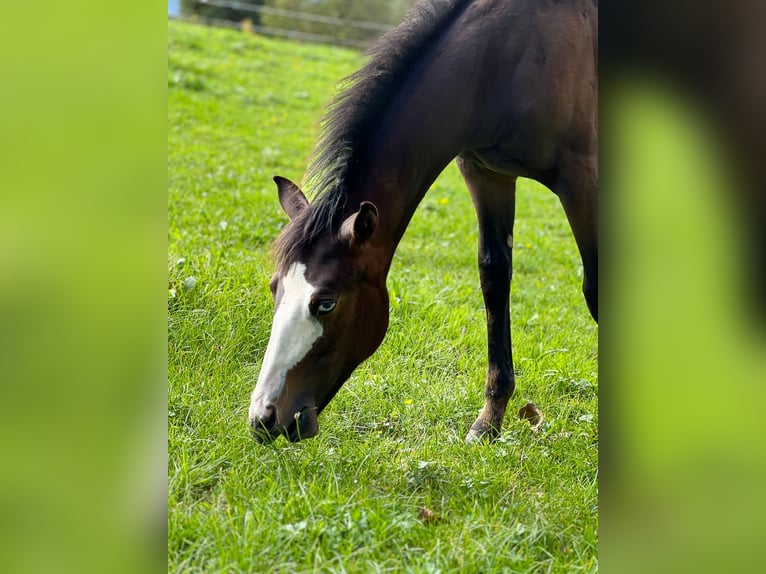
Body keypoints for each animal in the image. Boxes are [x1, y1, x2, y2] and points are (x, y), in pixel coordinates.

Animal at [248, 0, 598, 443]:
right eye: (275, 287)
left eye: (326, 303)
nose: (264, 417)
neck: (510, 55)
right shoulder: (486, 173)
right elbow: (494, 279)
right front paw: (488, 423)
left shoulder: (582, 179)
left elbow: (596, 289)